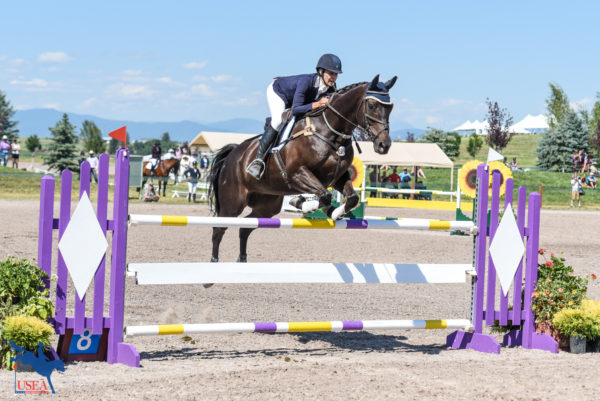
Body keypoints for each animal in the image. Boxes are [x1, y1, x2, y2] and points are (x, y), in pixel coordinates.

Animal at [209, 74, 396, 262]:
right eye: (371, 106)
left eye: (391, 108)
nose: (384, 145)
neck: (329, 132)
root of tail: (233, 154)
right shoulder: (296, 174)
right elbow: (325, 196)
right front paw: (302, 203)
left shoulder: (337, 177)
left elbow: (351, 198)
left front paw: (334, 212)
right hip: (233, 204)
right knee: (219, 229)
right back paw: (214, 262)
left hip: (267, 205)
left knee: (244, 228)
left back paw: (242, 259)